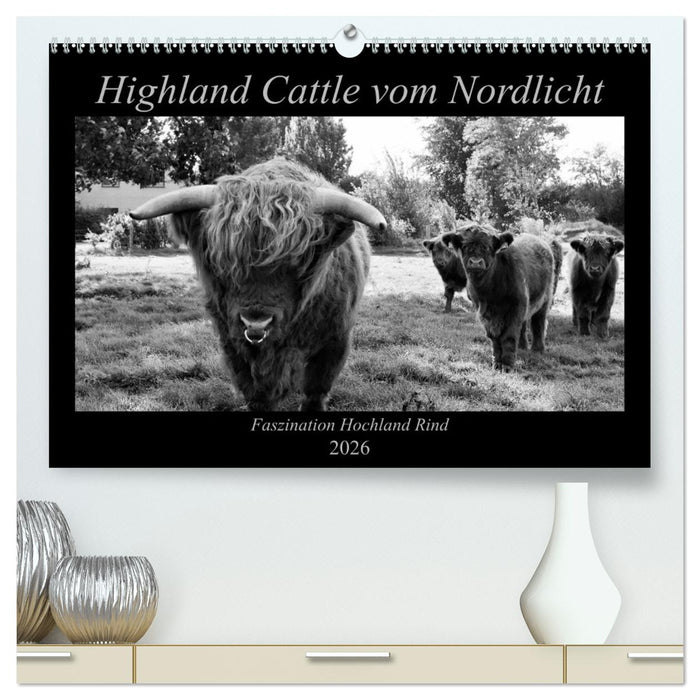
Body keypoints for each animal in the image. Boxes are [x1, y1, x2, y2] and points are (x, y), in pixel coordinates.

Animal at [129, 158, 386, 411]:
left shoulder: (335, 341)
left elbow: (316, 390)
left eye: (299, 261)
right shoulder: (232, 345)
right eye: (222, 261)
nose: (256, 321)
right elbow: (256, 396)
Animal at [442, 224, 562, 371]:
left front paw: (507, 364)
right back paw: (522, 347)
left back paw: (537, 350)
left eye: (488, 247)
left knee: (538, 323)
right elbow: (494, 337)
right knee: (523, 326)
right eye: (465, 246)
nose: (475, 262)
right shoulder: (484, 313)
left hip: (544, 299)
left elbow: (509, 336)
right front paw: (496, 362)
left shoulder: (516, 307)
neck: (491, 292)